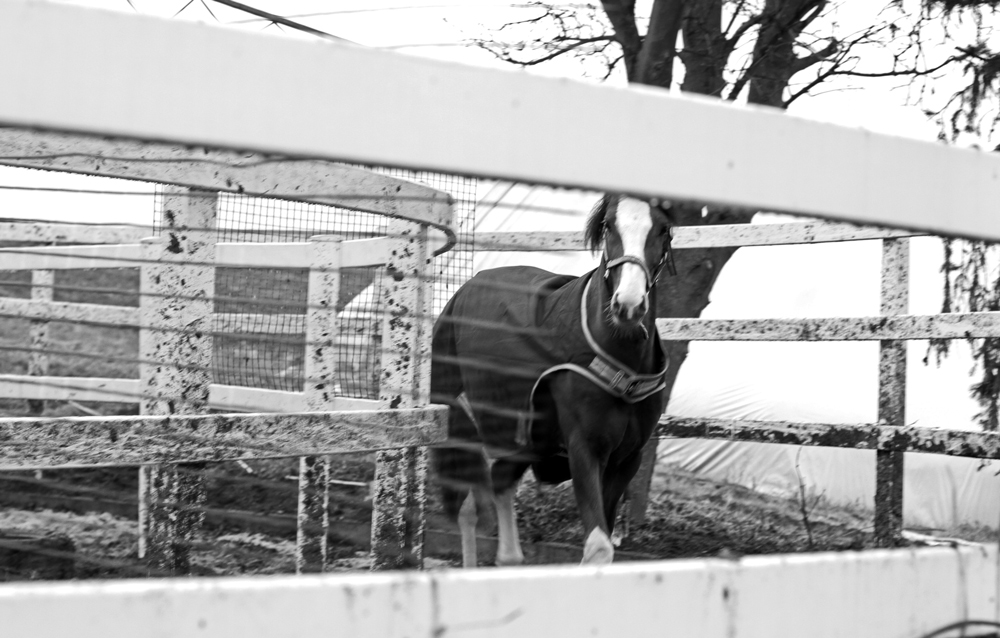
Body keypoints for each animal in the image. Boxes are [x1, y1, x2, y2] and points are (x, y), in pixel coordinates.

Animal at [432, 196, 680, 568]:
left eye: (663, 229)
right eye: (609, 225)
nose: (628, 305)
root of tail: (465, 289)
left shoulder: (626, 460)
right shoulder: (584, 450)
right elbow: (598, 548)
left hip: (525, 442)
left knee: (499, 486)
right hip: (466, 424)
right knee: (468, 508)